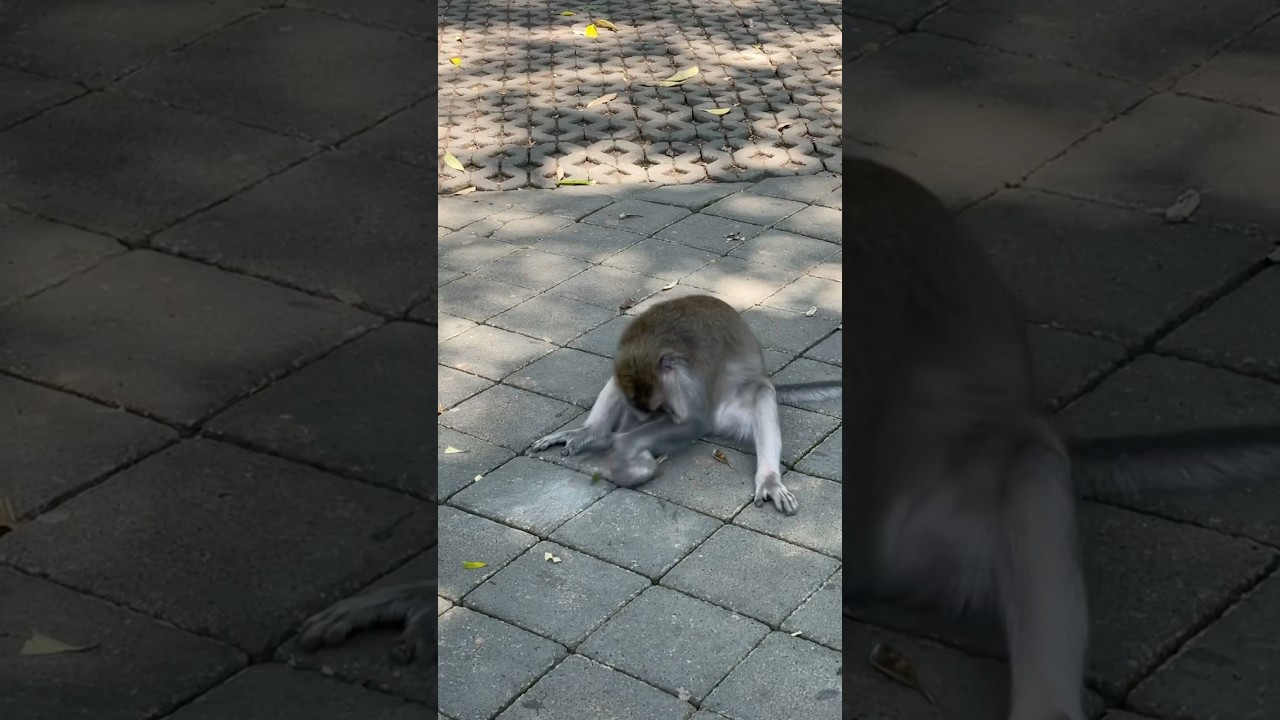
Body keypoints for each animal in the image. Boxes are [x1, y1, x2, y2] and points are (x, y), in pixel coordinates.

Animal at [530, 294, 843, 515]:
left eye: (660, 410)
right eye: (645, 410)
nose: (633, 423)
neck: (653, 343)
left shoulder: (686, 376)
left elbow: (695, 422)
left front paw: (622, 446)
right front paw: (610, 439)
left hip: (733, 412)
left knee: (762, 392)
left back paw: (768, 479)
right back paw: (592, 433)